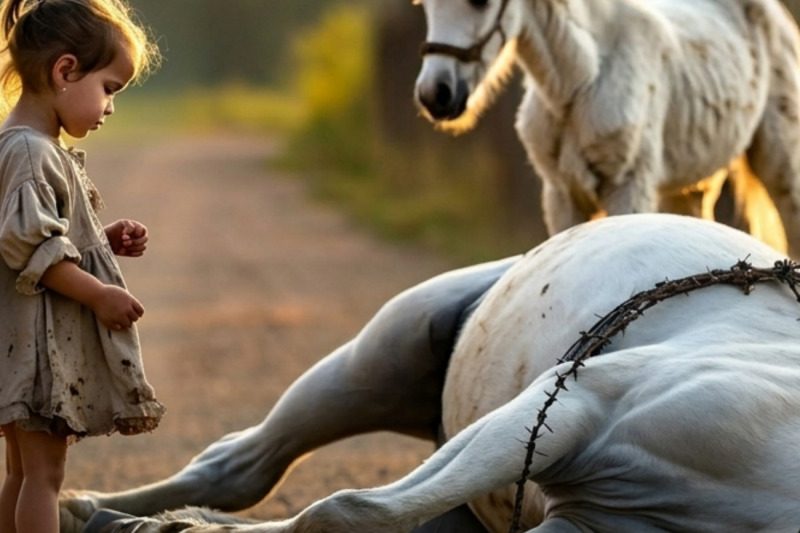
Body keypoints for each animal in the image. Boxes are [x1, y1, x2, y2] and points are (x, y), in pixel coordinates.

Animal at [61, 214, 800, 532]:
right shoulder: (578, 403)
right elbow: (345, 510)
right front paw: (160, 526)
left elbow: (349, 516)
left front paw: (170, 528)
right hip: (381, 356)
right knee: (243, 465)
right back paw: (92, 508)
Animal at [414, 0, 800, 258]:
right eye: (425, 4)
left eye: (481, 2)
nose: (436, 94)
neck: (582, 79)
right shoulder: (561, 195)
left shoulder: (627, 187)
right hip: (689, 186)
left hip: (781, 169)